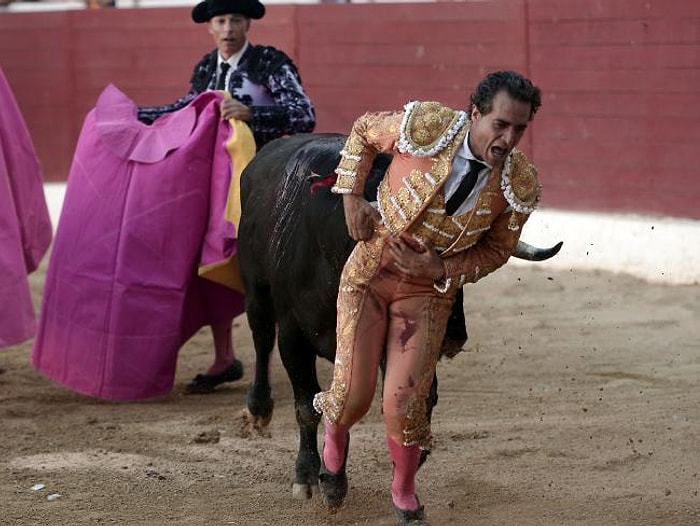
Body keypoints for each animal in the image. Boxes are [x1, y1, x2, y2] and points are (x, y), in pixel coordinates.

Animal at [238, 132, 560, 500]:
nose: (453, 338)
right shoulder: (293, 335)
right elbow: (307, 405)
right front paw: (307, 476)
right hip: (255, 289)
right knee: (262, 337)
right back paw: (258, 409)